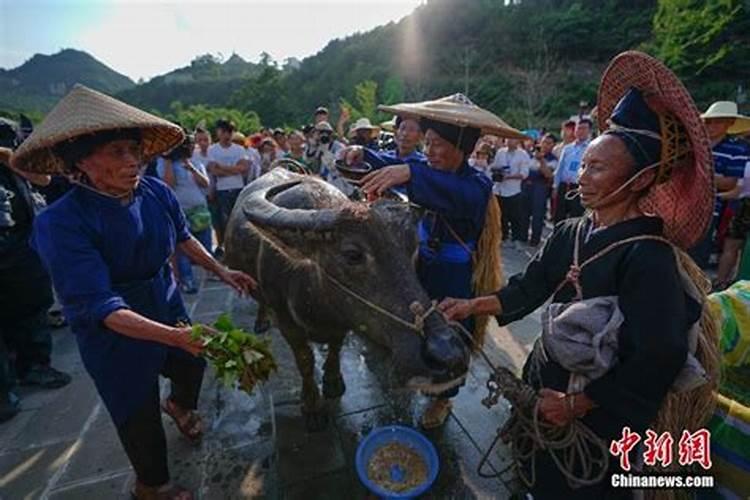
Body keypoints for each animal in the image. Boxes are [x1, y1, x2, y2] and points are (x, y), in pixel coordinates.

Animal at [223, 168, 470, 430]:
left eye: (414, 247)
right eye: (352, 255)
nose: (448, 354)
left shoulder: (344, 323)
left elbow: (336, 348)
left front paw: (333, 382)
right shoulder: (288, 324)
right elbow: (305, 361)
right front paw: (312, 406)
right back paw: (261, 320)